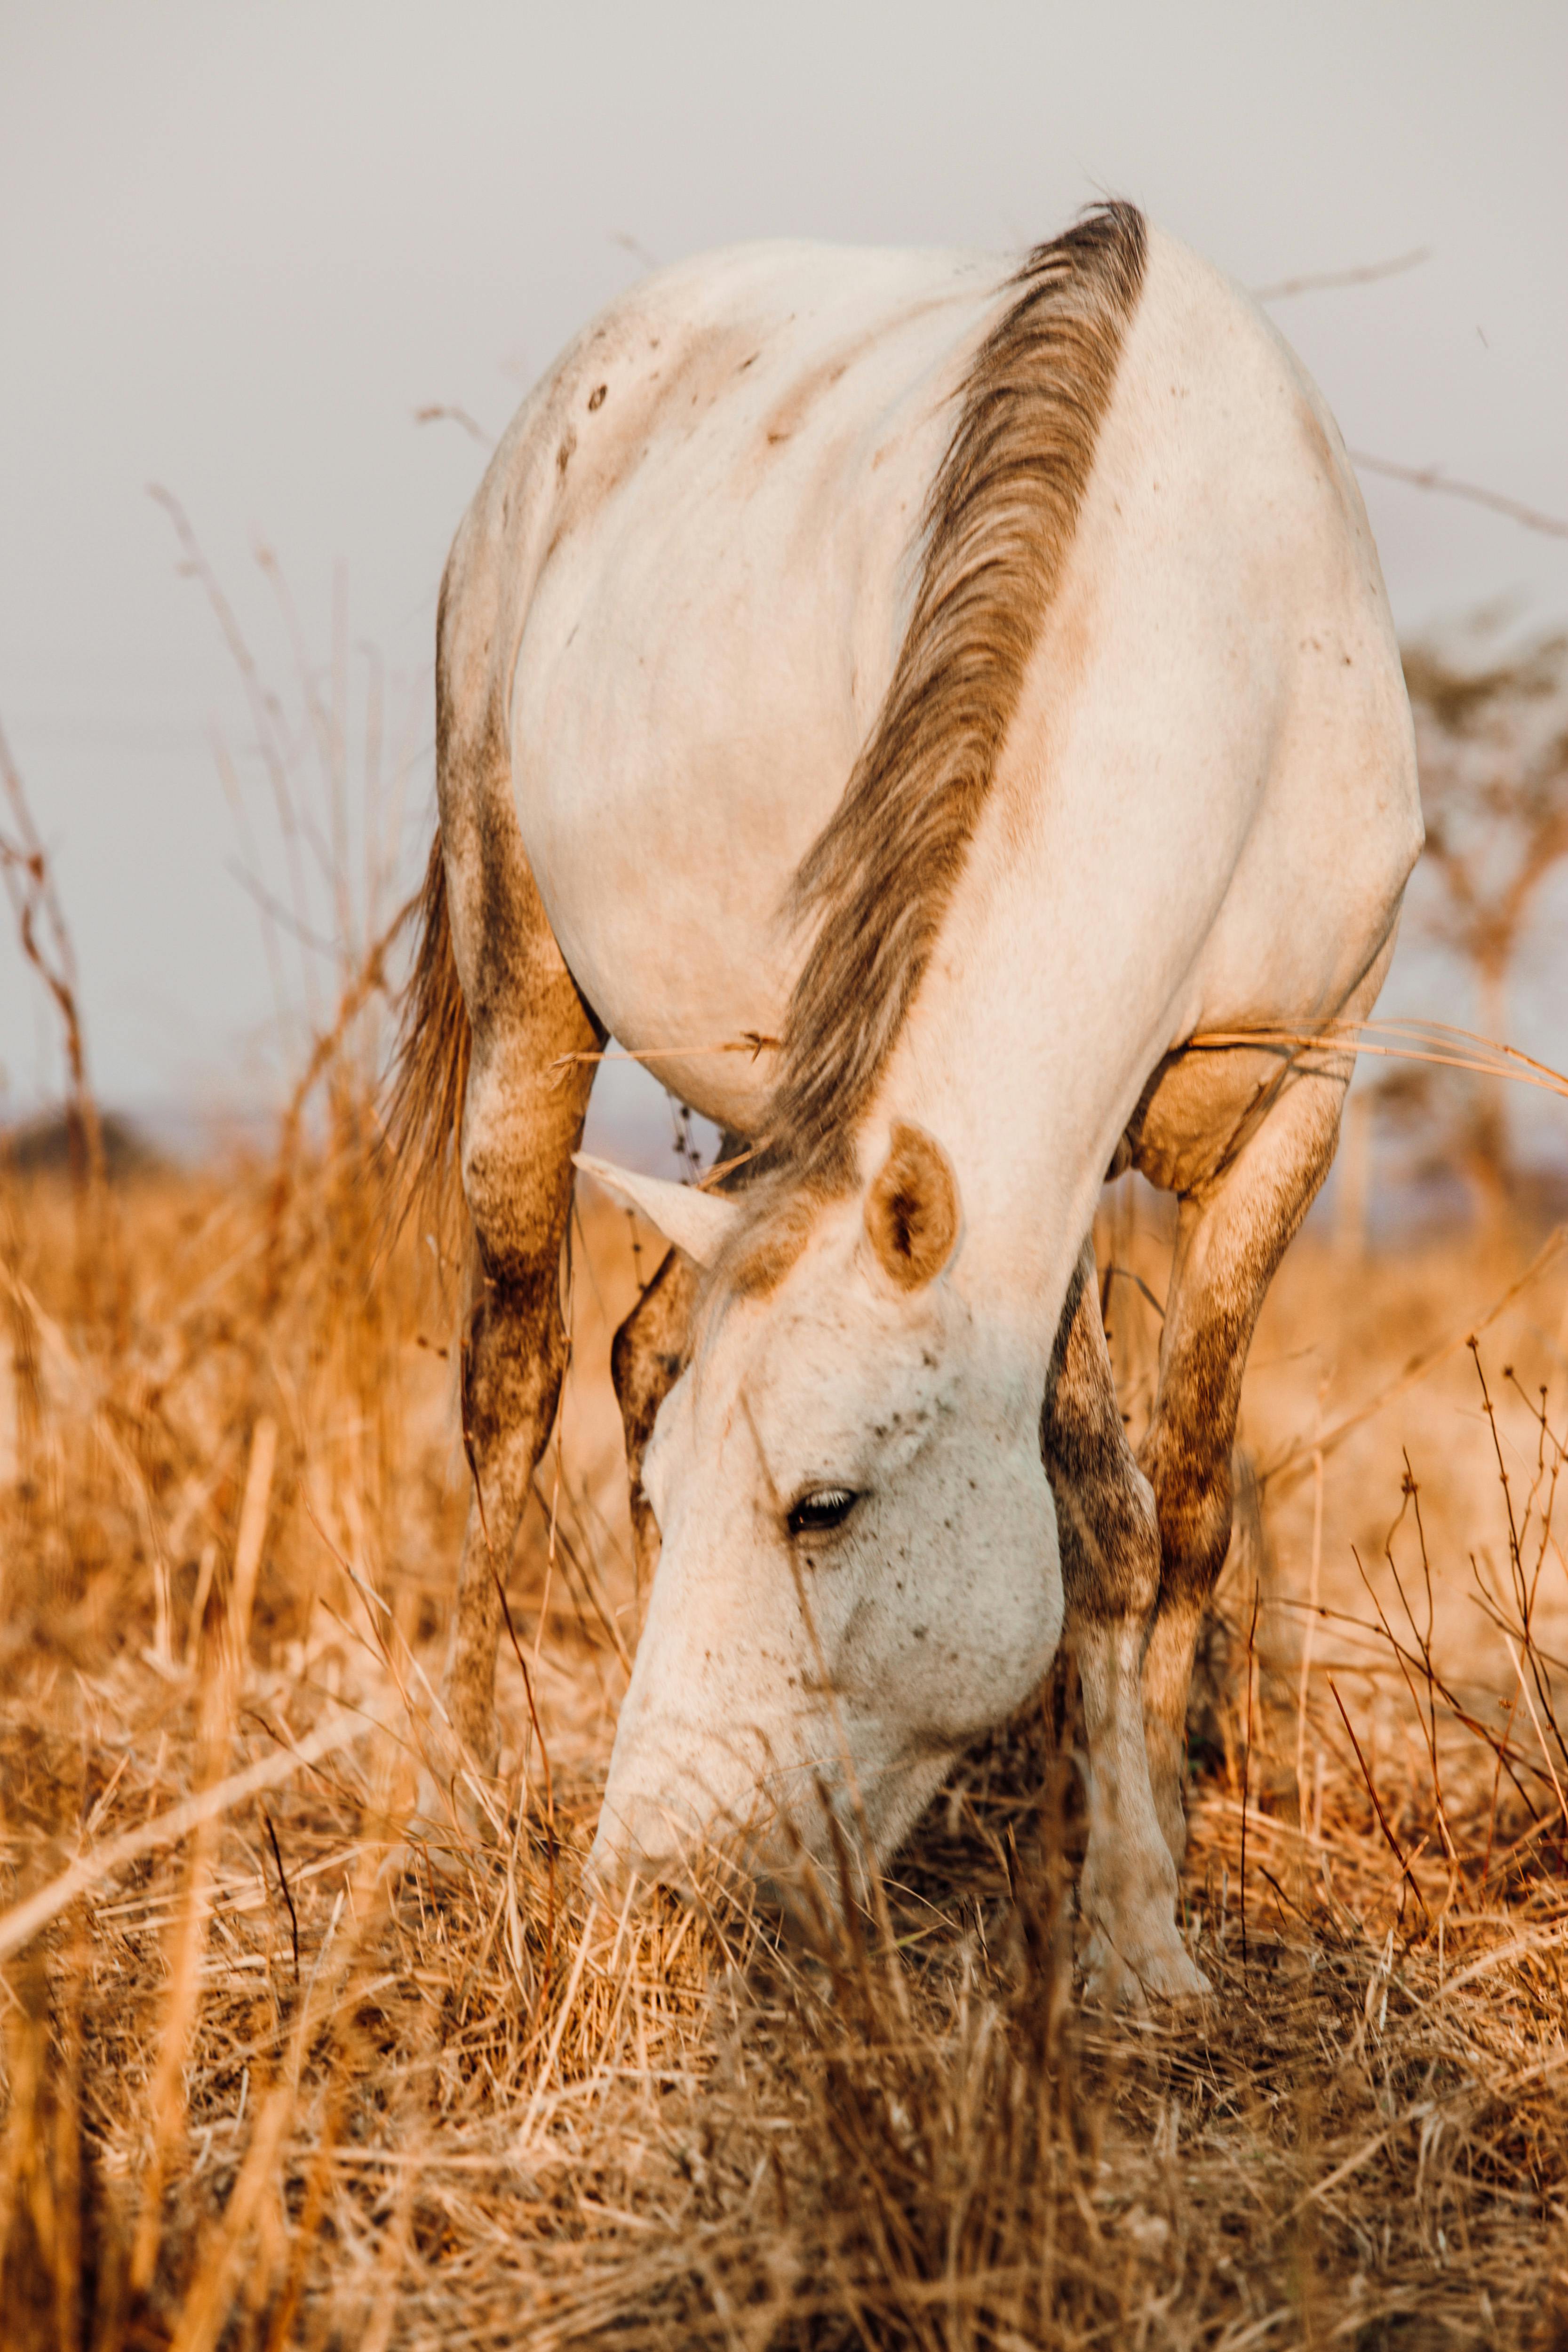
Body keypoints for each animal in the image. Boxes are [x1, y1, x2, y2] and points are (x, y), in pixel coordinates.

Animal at [395, 207, 1420, 2004]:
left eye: (825, 1507)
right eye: (667, 1502)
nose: (647, 1885)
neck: (1220, 640)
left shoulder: (1305, 1094)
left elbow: (1191, 1510)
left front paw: (1150, 1883)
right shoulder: (1029, 1169)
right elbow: (1098, 1512)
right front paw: (1125, 1931)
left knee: (641, 1346)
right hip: (528, 989)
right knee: (510, 1385)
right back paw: (463, 1774)